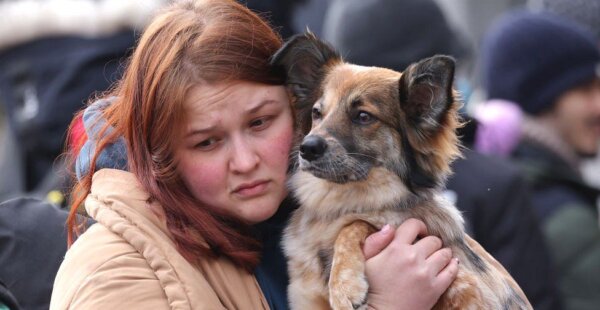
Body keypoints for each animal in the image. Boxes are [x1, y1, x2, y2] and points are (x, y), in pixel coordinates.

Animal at [270, 32, 532, 310]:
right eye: (317, 113)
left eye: (363, 116)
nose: (307, 148)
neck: (340, 205)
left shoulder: (465, 288)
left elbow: (357, 225)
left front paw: (344, 286)